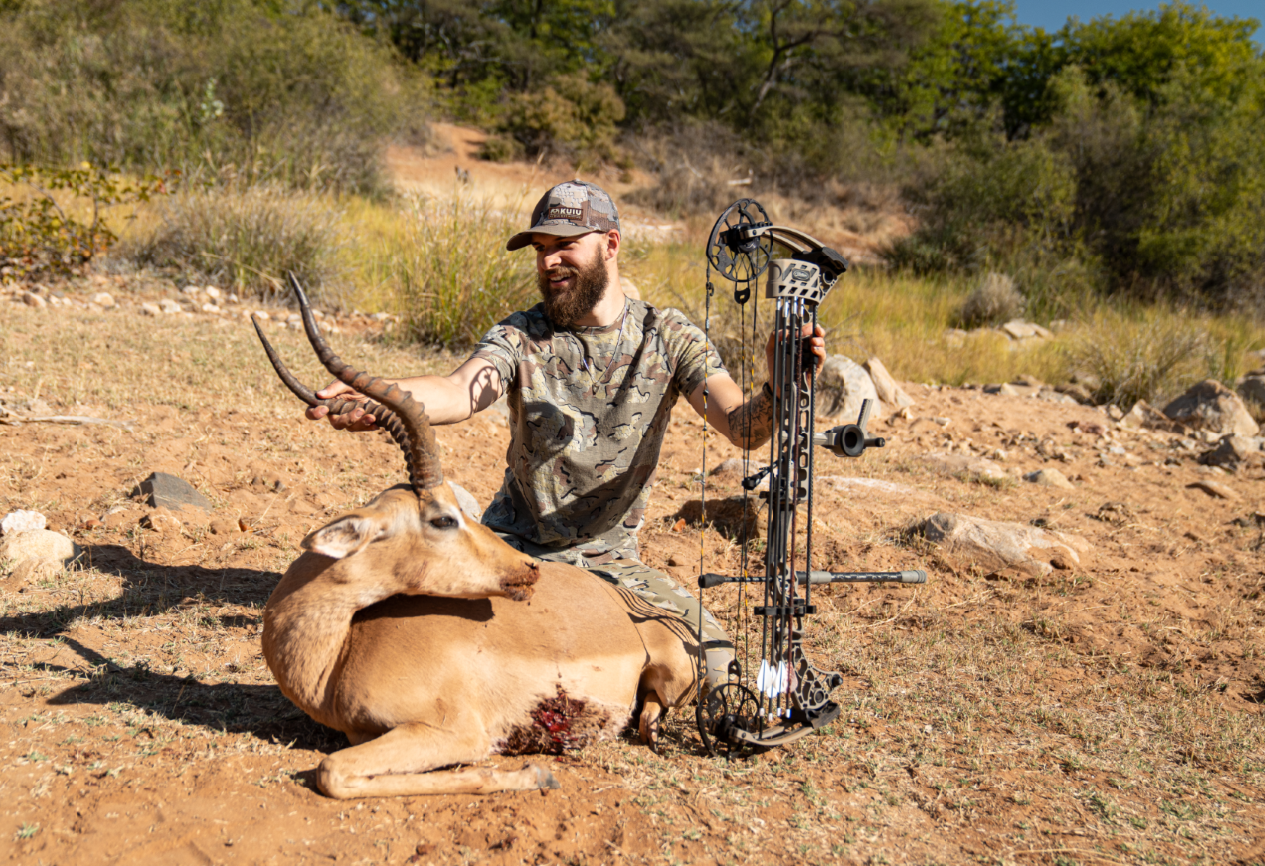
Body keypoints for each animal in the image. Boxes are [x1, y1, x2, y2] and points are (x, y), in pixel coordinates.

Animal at [251, 281, 700, 798]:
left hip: (670, 675)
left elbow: (331, 772)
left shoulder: (457, 731)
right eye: (444, 519)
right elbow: (334, 771)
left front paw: (532, 772)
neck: (341, 651)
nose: (527, 569)